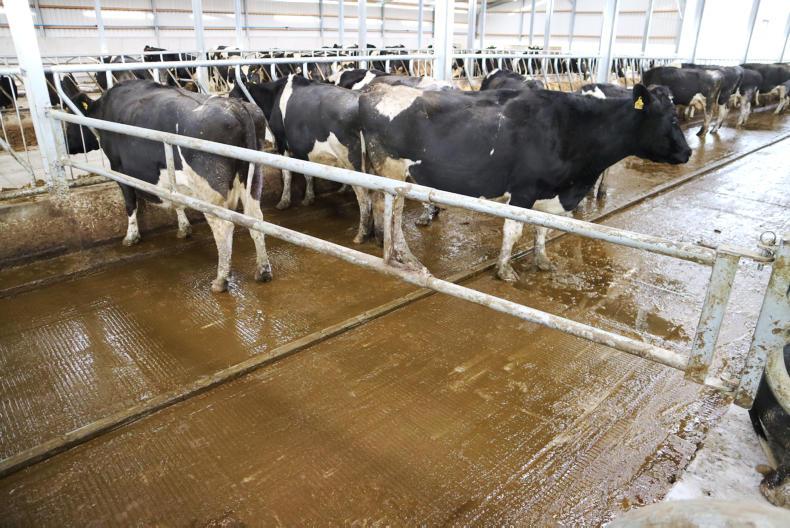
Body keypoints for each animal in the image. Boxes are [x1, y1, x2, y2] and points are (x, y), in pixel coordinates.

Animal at [64, 80, 272, 293]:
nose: (66, 145)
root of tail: (237, 107)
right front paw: (184, 228)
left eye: (69, 124)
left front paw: (131, 237)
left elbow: (130, 203)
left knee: (224, 226)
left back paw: (221, 280)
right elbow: (176, 200)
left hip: (210, 188)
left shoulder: (118, 169)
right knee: (256, 219)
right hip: (253, 176)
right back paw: (263, 270)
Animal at [229, 75, 372, 244]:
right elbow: (307, 173)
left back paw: (361, 234)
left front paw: (284, 201)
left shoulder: (282, 142)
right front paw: (308, 197)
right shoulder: (303, 148)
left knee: (364, 198)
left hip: (352, 160)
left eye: (233, 95)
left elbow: (287, 174)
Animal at [359, 83, 691, 281]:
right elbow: (514, 229)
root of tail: (378, 89)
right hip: (392, 172)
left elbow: (542, 227)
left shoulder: (549, 192)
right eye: (673, 119)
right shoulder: (524, 190)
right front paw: (505, 269)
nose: (688, 152)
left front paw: (542, 260)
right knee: (390, 214)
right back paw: (406, 258)